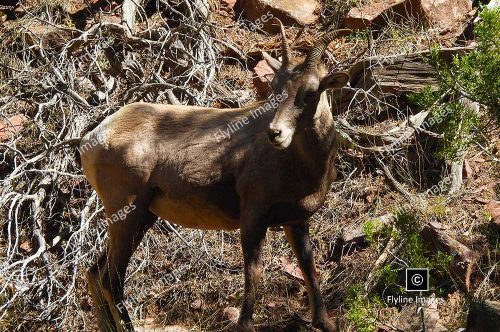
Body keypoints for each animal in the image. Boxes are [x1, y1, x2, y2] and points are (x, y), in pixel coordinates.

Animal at [80, 22, 350, 332]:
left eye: (310, 92)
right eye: (275, 88)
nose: (275, 134)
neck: (300, 165)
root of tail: (91, 139)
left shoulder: (296, 221)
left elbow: (309, 267)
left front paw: (325, 323)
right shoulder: (253, 216)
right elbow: (253, 271)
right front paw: (245, 326)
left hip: (140, 218)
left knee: (95, 274)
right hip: (128, 215)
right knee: (111, 280)